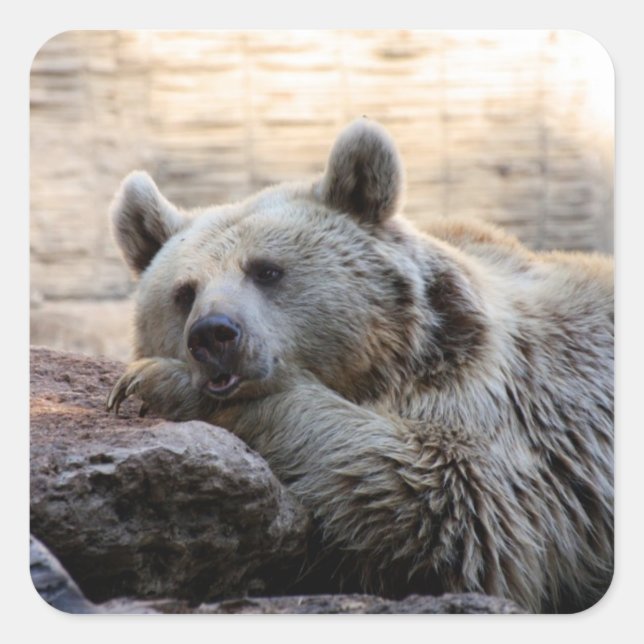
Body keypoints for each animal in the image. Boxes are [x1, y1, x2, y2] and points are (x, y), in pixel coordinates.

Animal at [106, 119, 613, 613]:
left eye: (267, 270)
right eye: (184, 292)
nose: (213, 334)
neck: (386, 365)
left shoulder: (498, 405)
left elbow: (440, 497)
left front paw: (153, 382)